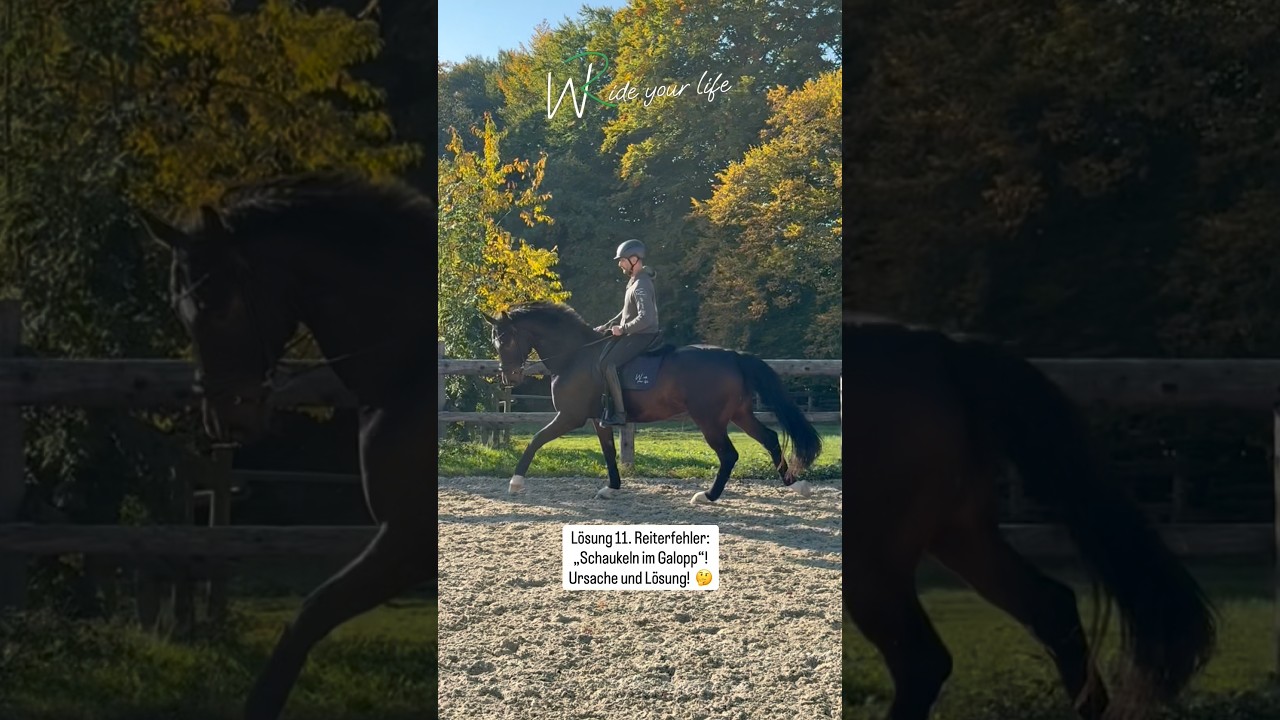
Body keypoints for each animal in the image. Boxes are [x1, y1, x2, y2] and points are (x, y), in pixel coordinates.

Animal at [136, 172, 436, 720]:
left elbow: (308, 617)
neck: (409, 369)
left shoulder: (409, 539)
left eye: (220, 305)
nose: (225, 419)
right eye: (180, 312)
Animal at [479, 301, 823, 503]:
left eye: (506, 340)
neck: (575, 356)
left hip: (710, 420)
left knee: (729, 454)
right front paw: (612, 487)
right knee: (770, 438)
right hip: (739, 413)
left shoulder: (570, 416)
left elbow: (536, 440)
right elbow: (609, 452)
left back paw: (708, 496)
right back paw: (794, 484)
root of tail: (733, 356)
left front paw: (516, 482)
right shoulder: (597, 419)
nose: (508, 377)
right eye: (494, 342)